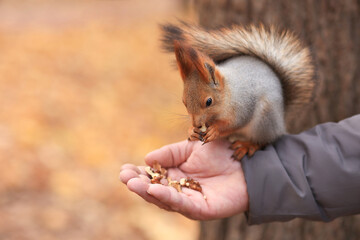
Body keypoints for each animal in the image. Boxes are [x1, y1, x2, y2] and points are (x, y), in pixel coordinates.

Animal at [160, 22, 316, 159]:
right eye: (184, 102)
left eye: (209, 101)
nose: (196, 124)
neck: (228, 93)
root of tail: (281, 121)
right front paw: (191, 131)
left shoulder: (243, 105)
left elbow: (236, 123)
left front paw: (216, 130)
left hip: (264, 120)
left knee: (265, 140)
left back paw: (248, 146)